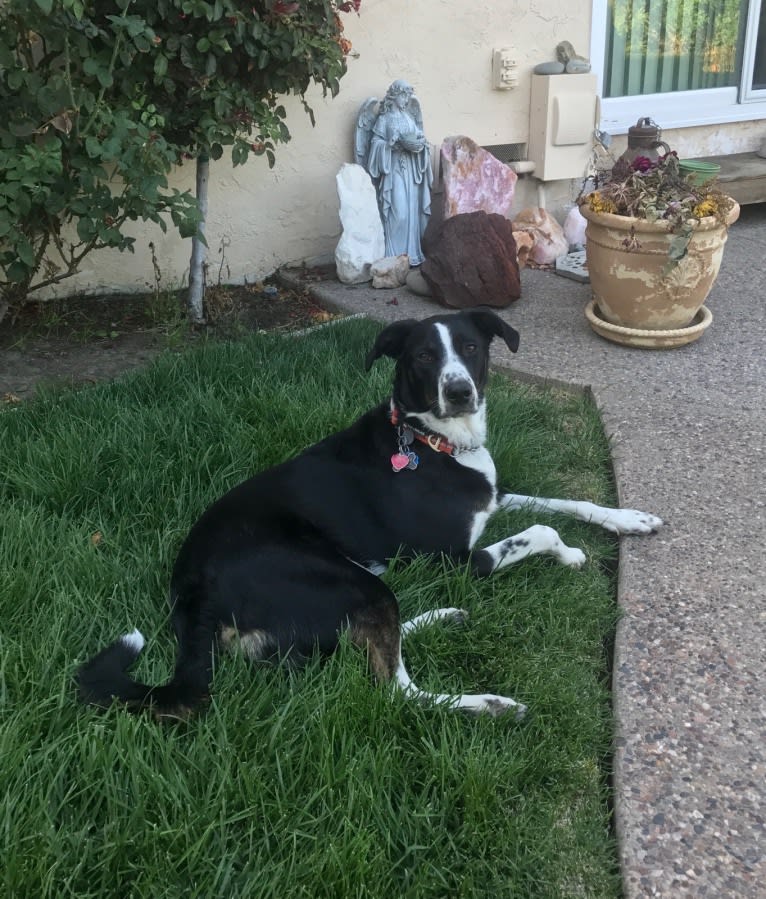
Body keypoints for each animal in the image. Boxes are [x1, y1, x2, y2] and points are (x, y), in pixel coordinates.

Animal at [79, 310, 664, 716]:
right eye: (424, 356)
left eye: (471, 347)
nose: (459, 391)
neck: (431, 441)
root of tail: (191, 591)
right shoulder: (454, 558)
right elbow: (541, 529)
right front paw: (569, 554)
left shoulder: (492, 499)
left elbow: (564, 502)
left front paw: (630, 518)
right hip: (346, 580)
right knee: (394, 688)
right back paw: (487, 703)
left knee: (366, 640)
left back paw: (440, 618)